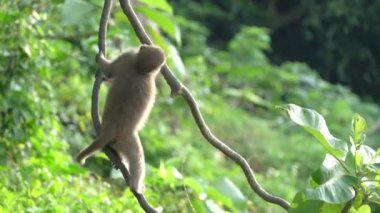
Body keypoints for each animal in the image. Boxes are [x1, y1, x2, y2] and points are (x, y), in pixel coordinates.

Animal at [76, 45, 166, 195]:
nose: (143, 46)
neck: (139, 68)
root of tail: (109, 131)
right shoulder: (128, 56)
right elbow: (109, 70)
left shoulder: (127, 58)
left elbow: (109, 70)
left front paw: (100, 60)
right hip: (126, 140)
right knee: (137, 157)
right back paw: (136, 187)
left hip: (120, 141)